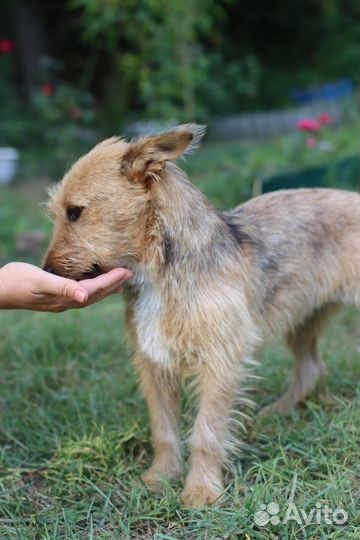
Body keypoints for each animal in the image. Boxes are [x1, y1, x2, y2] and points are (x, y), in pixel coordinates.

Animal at [43, 124, 360, 508]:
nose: (47, 271)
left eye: (75, 211)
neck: (160, 272)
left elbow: (206, 434)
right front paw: (160, 478)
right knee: (311, 366)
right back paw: (280, 410)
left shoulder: (220, 364)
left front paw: (201, 490)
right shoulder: (155, 364)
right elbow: (163, 429)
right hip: (303, 318)